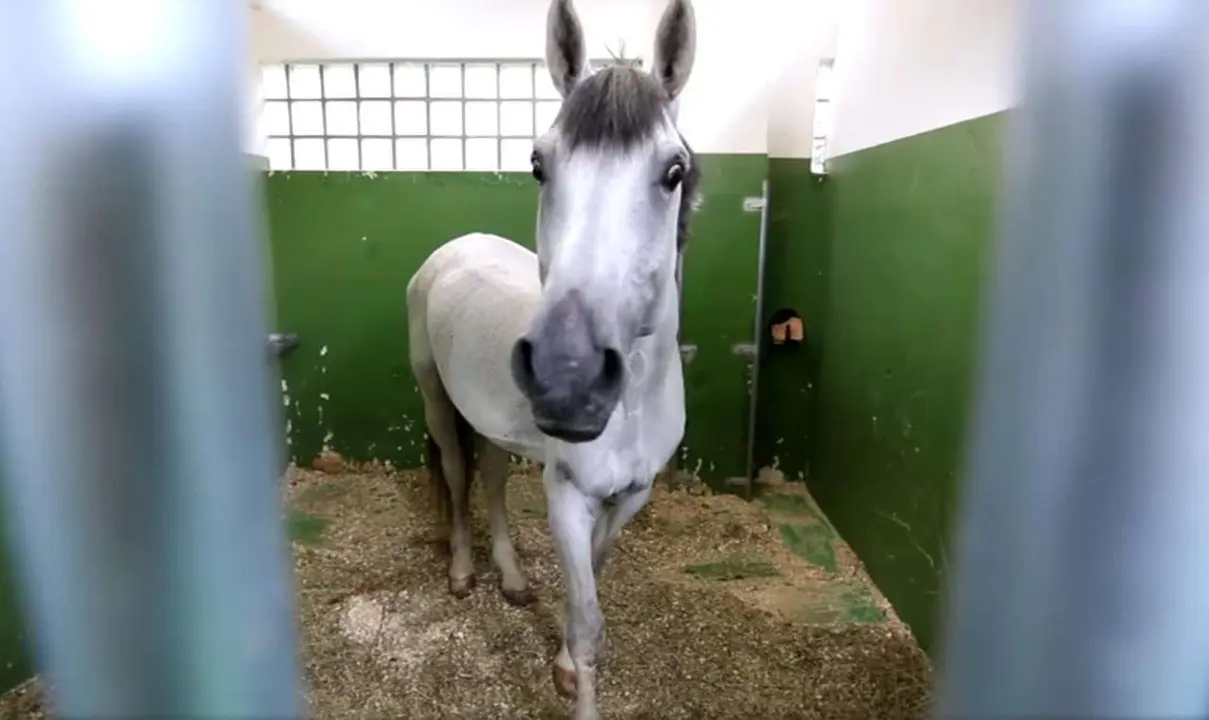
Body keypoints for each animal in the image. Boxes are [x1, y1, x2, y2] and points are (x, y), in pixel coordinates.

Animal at [405, 0, 698, 717]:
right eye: (540, 164)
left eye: (674, 170)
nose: (570, 376)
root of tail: (456, 247)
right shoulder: (566, 493)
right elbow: (589, 621)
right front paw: (575, 676)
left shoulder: (631, 496)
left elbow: (591, 578)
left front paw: (562, 664)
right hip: (435, 399)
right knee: (456, 475)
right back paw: (462, 571)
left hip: (489, 422)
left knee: (489, 477)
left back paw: (511, 578)